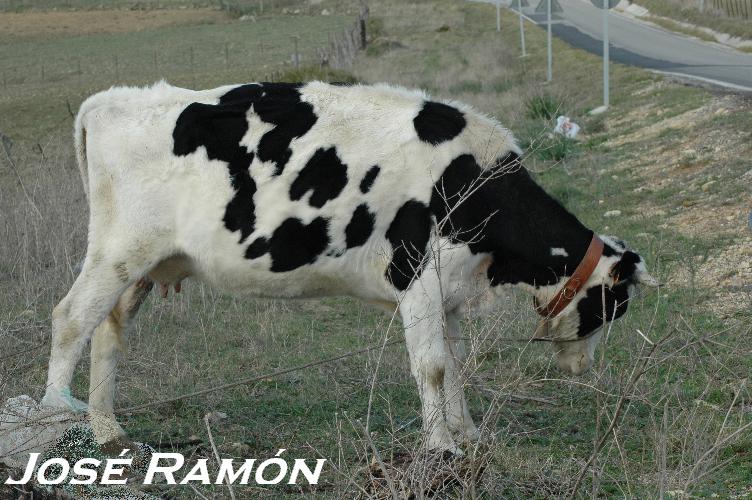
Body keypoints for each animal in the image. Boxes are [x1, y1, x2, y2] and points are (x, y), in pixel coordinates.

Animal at [41, 80, 656, 452]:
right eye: (614, 305)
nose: (583, 368)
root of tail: (113, 100)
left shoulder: (449, 289)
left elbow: (455, 364)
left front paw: (468, 435)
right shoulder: (417, 276)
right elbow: (433, 367)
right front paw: (441, 448)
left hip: (144, 265)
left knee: (109, 329)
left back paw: (109, 430)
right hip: (117, 253)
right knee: (71, 318)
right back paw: (55, 415)